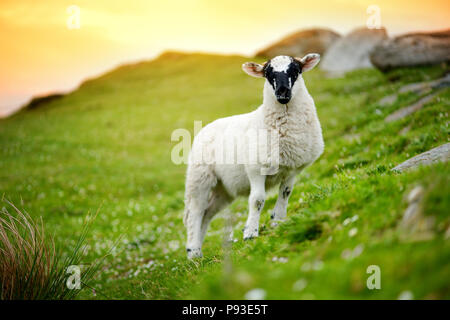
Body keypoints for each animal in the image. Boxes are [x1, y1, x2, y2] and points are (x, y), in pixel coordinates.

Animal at [183, 53, 324, 258]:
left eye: (296, 70)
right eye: (268, 74)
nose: (282, 92)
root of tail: (206, 127)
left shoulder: (292, 168)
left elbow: (286, 193)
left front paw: (278, 220)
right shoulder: (256, 169)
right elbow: (257, 200)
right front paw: (250, 233)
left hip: (224, 189)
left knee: (206, 213)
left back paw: (198, 253)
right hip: (200, 177)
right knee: (195, 212)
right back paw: (193, 250)